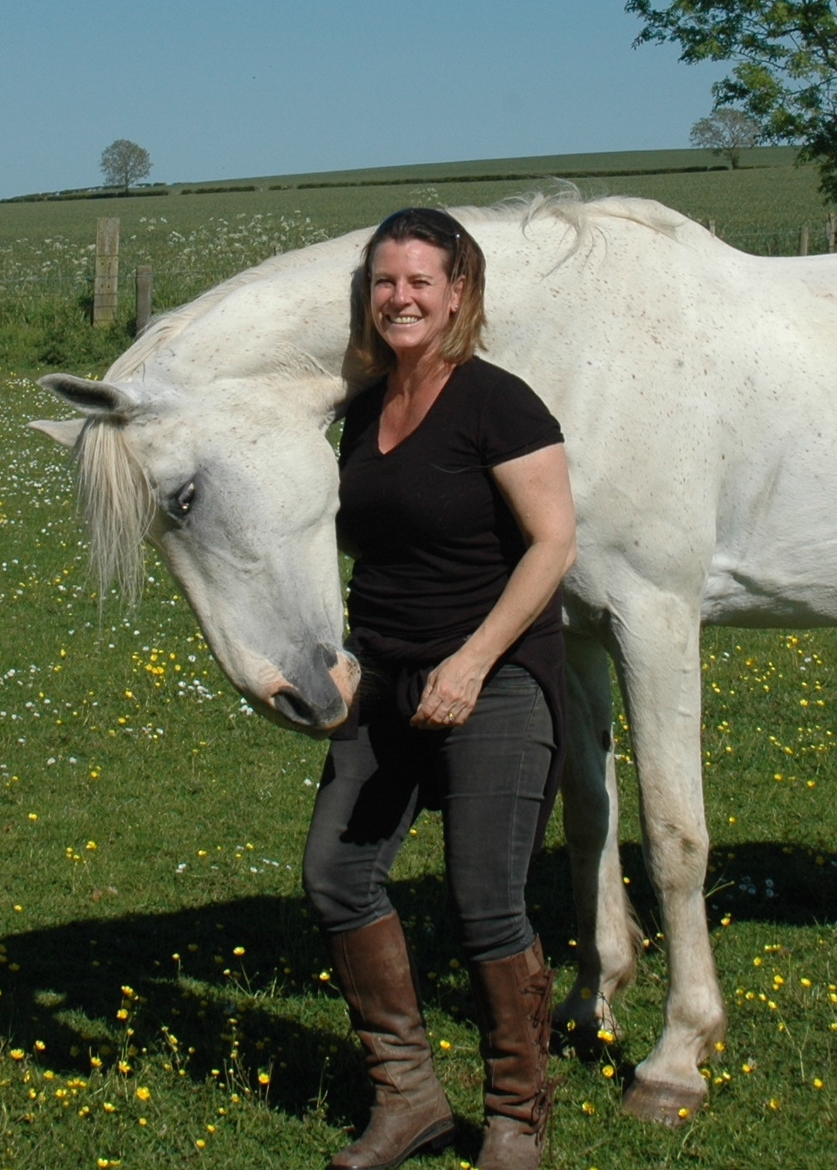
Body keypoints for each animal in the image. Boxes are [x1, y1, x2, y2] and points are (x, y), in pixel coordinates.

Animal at [31, 192, 837, 1125]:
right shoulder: (581, 629)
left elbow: (673, 838)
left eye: (183, 498)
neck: (574, 354)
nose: (298, 699)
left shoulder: (655, 620)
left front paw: (677, 1056)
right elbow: (590, 816)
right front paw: (588, 1001)